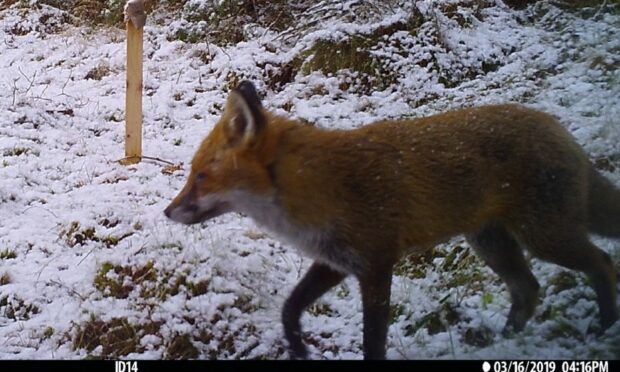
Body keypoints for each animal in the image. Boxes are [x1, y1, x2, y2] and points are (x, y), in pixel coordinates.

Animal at [166, 81, 620, 360]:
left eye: (201, 177)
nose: (168, 212)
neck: (317, 187)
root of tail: (556, 124)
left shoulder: (376, 263)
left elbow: (373, 342)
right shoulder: (335, 261)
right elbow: (289, 308)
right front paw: (297, 348)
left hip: (545, 237)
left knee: (602, 262)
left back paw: (604, 327)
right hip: (492, 244)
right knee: (528, 289)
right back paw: (501, 343)